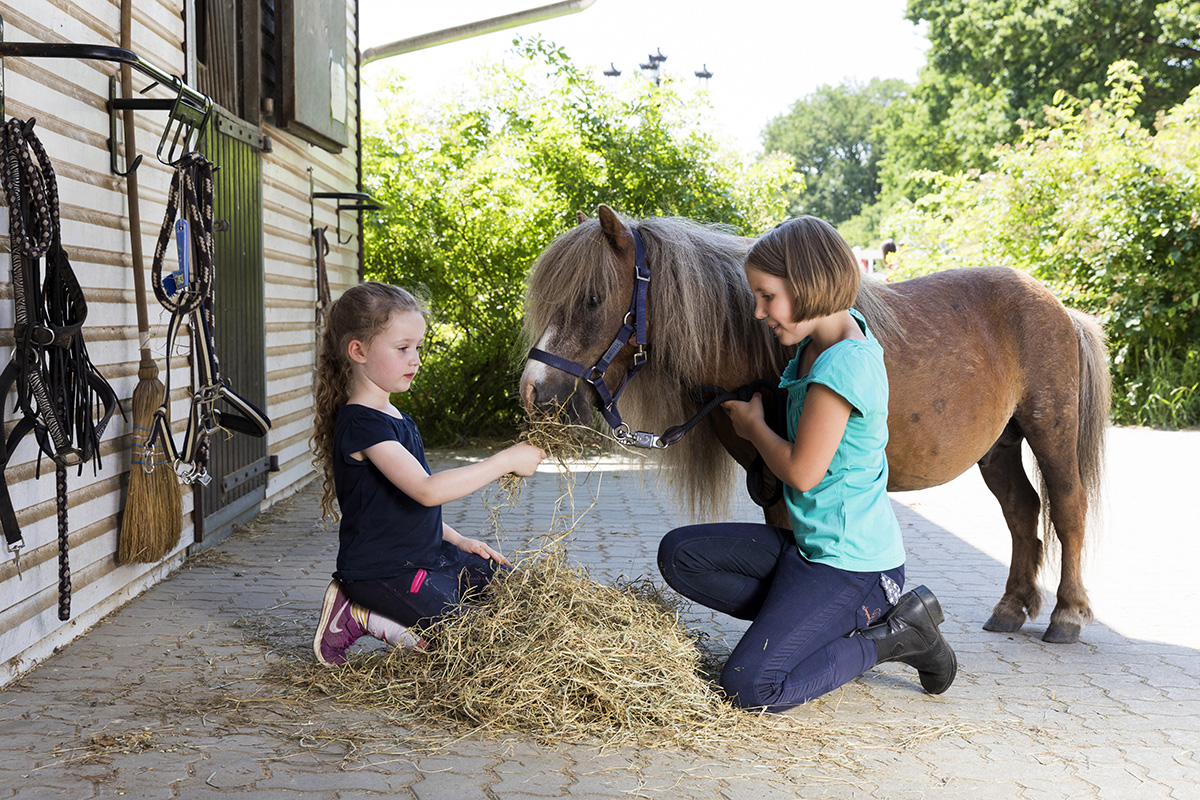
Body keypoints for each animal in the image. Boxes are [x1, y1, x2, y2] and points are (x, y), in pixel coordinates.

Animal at [520, 205, 1110, 645]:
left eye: (592, 298)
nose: (533, 391)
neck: (753, 344)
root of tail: (1061, 308)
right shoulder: (768, 482)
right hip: (999, 446)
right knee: (1021, 511)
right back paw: (1012, 607)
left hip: (1050, 431)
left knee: (1067, 508)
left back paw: (1067, 615)